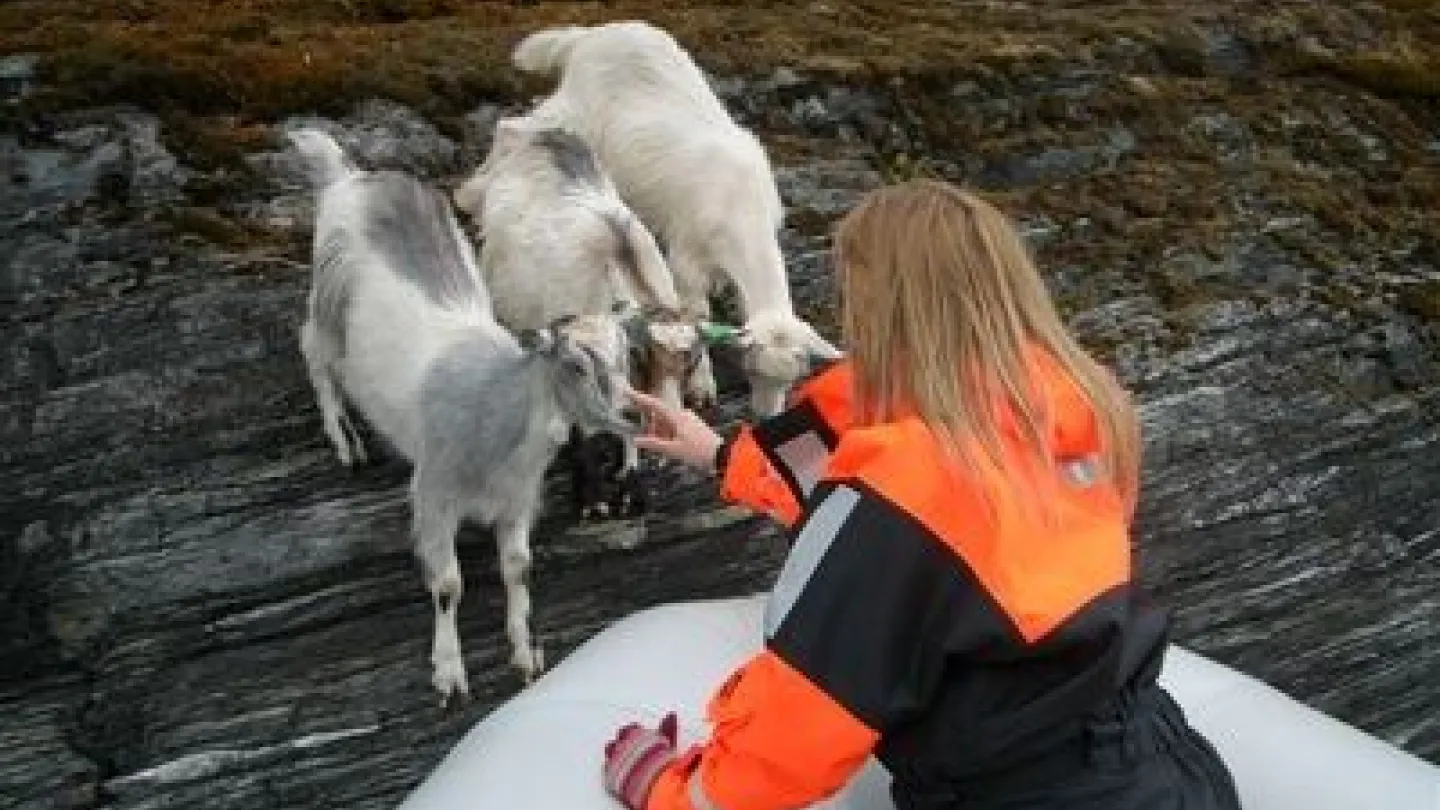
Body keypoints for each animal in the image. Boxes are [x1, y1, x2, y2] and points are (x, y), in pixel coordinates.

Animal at [512, 20, 840, 415]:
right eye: (752, 370)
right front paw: (702, 386)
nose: (764, 416)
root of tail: (591, 35)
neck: (741, 207)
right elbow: (697, 318)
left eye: (793, 379)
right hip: (570, 115)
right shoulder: (687, 259)